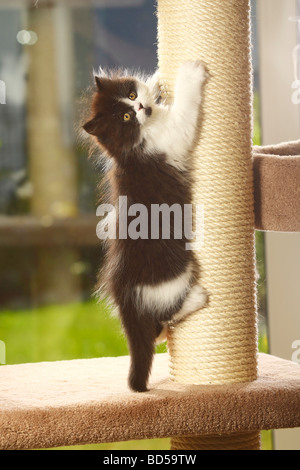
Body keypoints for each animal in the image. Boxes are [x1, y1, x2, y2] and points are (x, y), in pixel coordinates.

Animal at [83, 60, 207, 392]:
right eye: (126, 117)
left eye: (131, 94)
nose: (139, 106)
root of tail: (124, 292)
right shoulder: (174, 134)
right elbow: (184, 108)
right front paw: (191, 73)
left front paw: (156, 81)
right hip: (174, 273)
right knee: (168, 310)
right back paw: (197, 299)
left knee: (154, 328)